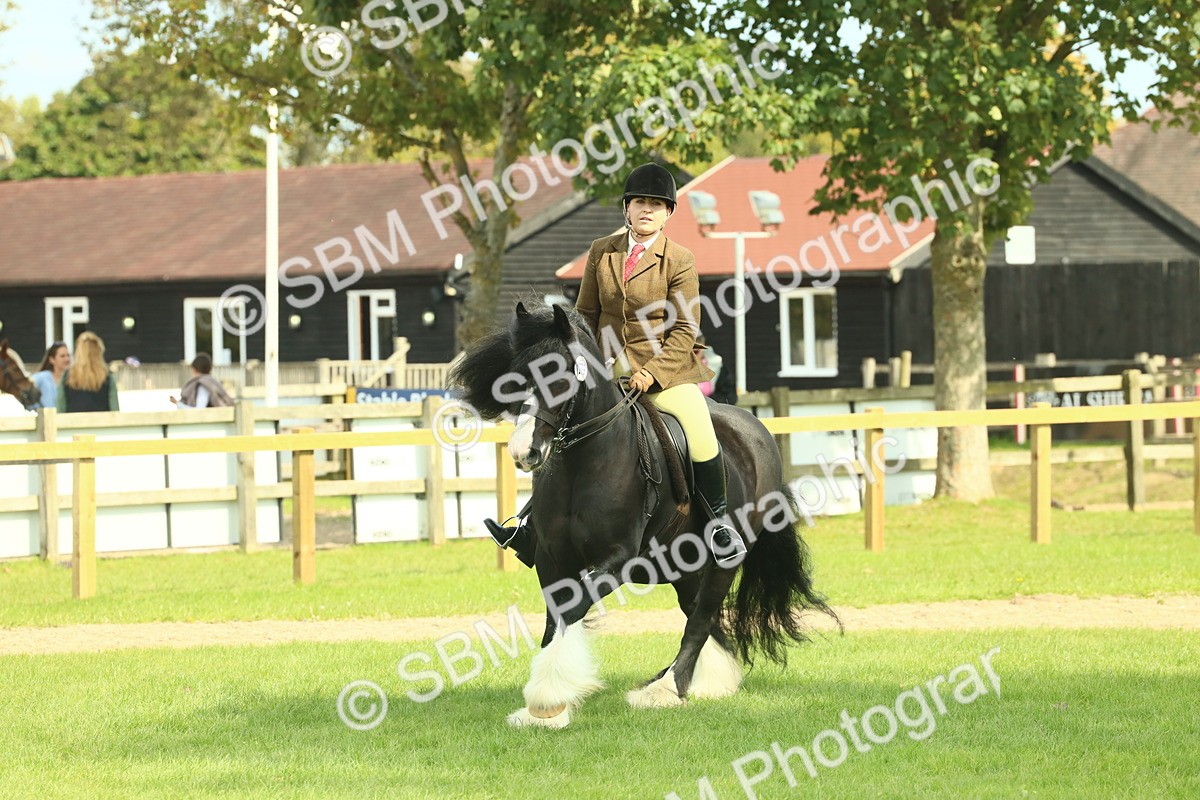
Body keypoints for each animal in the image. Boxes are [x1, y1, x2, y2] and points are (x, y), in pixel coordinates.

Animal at [449, 300, 838, 728]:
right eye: (515, 376)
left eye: (558, 375)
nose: (523, 453)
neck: (581, 465)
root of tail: (758, 430)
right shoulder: (553, 559)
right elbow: (556, 617)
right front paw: (546, 709)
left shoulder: (618, 559)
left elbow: (573, 608)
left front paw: (548, 697)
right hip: (683, 563)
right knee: (698, 612)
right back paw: (704, 680)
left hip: (727, 558)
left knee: (702, 617)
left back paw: (666, 689)